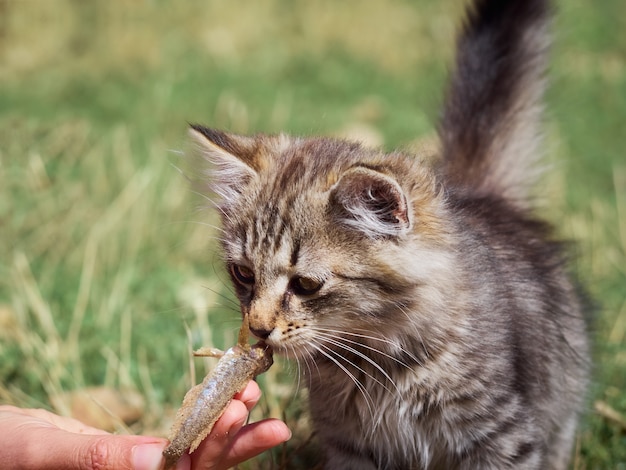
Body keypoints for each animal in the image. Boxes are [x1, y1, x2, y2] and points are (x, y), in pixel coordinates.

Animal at [188, 0, 588, 466]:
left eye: (306, 284)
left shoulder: (503, 435)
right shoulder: (351, 446)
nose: (258, 328)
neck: (376, 362)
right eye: (244, 274)